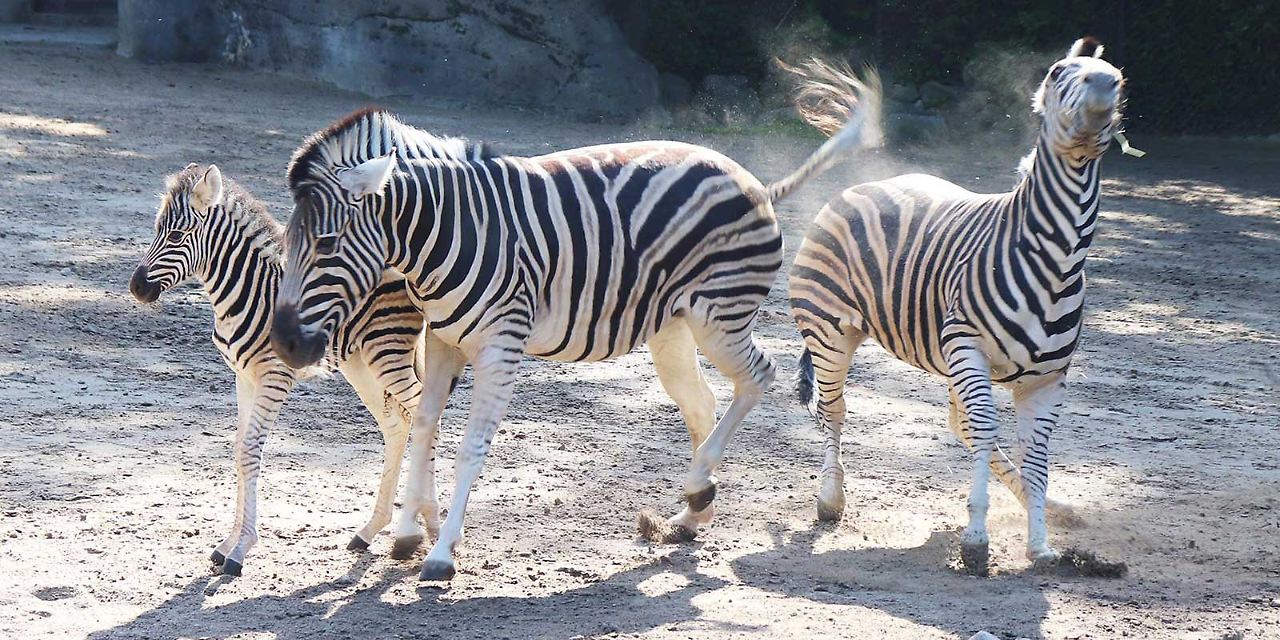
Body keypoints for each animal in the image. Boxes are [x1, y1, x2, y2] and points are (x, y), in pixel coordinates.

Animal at [128, 162, 435, 578]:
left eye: (176, 235)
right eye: (156, 230)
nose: (136, 288)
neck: (248, 290)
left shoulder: (275, 376)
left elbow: (251, 451)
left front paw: (241, 550)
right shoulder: (244, 375)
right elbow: (239, 448)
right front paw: (227, 544)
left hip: (387, 353)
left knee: (424, 416)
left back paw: (431, 527)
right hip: (362, 363)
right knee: (397, 424)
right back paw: (373, 530)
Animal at [275, 63, 885, 581]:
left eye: (326, 244)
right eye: (288, 243)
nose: (284, 342)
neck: (453, 230)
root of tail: (756, 183)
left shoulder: (500, 344)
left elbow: (471, 443)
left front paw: (442, 550)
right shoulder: (444, 339)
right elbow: (424, 425)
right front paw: (406, 534)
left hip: (721, 315)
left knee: (760, 376)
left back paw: (703, 488)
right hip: (673, 327)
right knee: (703, 402)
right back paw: (691, 513)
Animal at [783, 36, 1126, 576]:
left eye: (1117, 75)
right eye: (1057, 73)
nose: (1103, 85)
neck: (1058, 257)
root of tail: (858, 186)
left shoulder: (1047, 380)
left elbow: (1036, 457)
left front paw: (1040, 543)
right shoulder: (968, 346)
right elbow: (985, 430)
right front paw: (976, 541)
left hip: (941, 359)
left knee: (956, 423)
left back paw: (1049, 508)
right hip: (832, 331)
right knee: (833, 409)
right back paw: (830, 500)